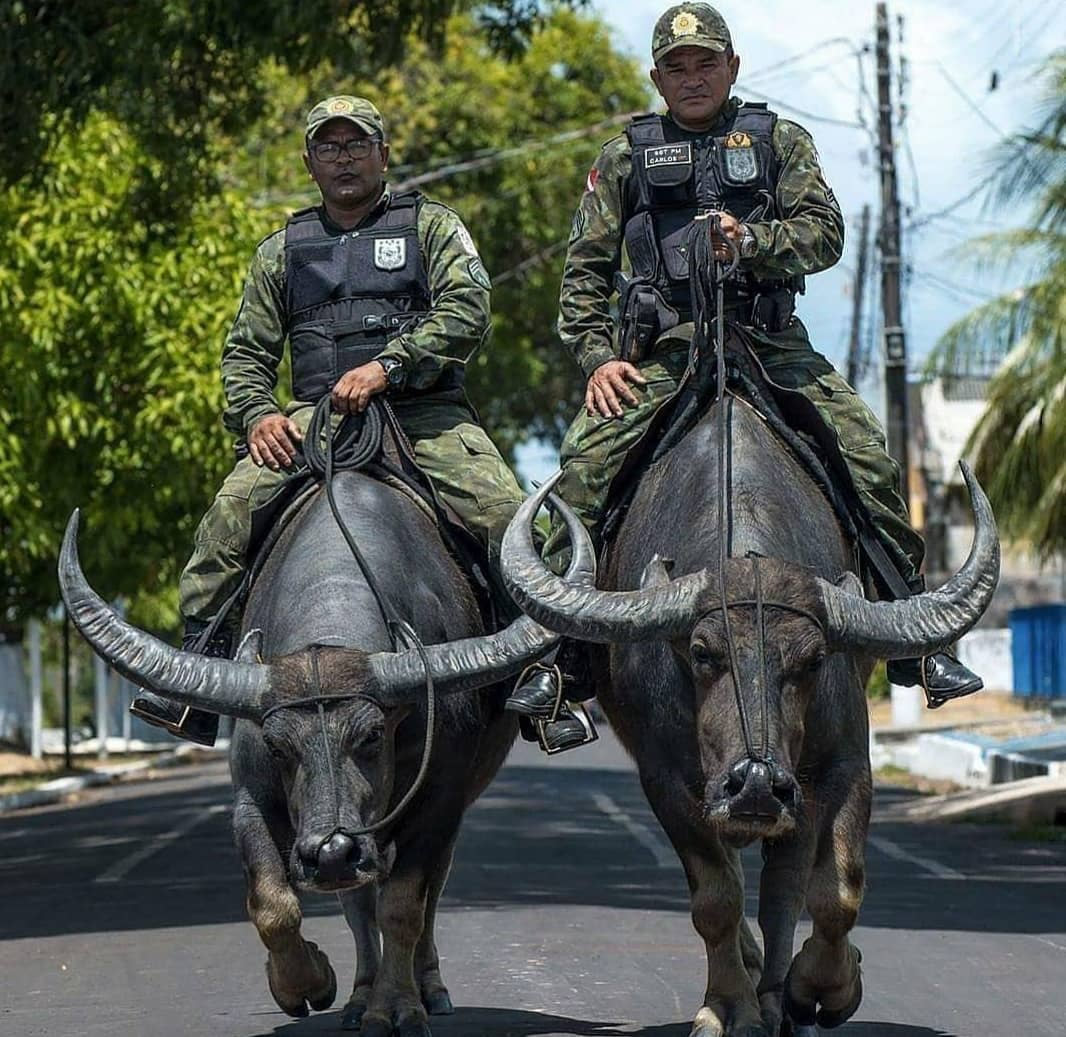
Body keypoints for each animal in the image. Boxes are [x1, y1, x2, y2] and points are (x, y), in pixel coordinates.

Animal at [58, 471, 592, 1035]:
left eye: (373, 734)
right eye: (277, 744)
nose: (331, 851)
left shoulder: (439, 802)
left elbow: (403, 907)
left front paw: (399, 1008)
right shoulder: (253, 798)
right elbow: (274, 905)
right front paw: (307, 985)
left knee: (426, 895)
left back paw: (427, 989)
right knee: (357, 902)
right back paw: (359, 997)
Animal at [501, 396, 997, 1035]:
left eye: (812, 659)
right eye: (701, 651)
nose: (756, 784)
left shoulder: (839, 767)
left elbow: (833, 893)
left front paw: (822, 990)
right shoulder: (668, 781)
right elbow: (716, 898)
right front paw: (730, 1007)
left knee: (784, 887)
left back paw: (781, 993)